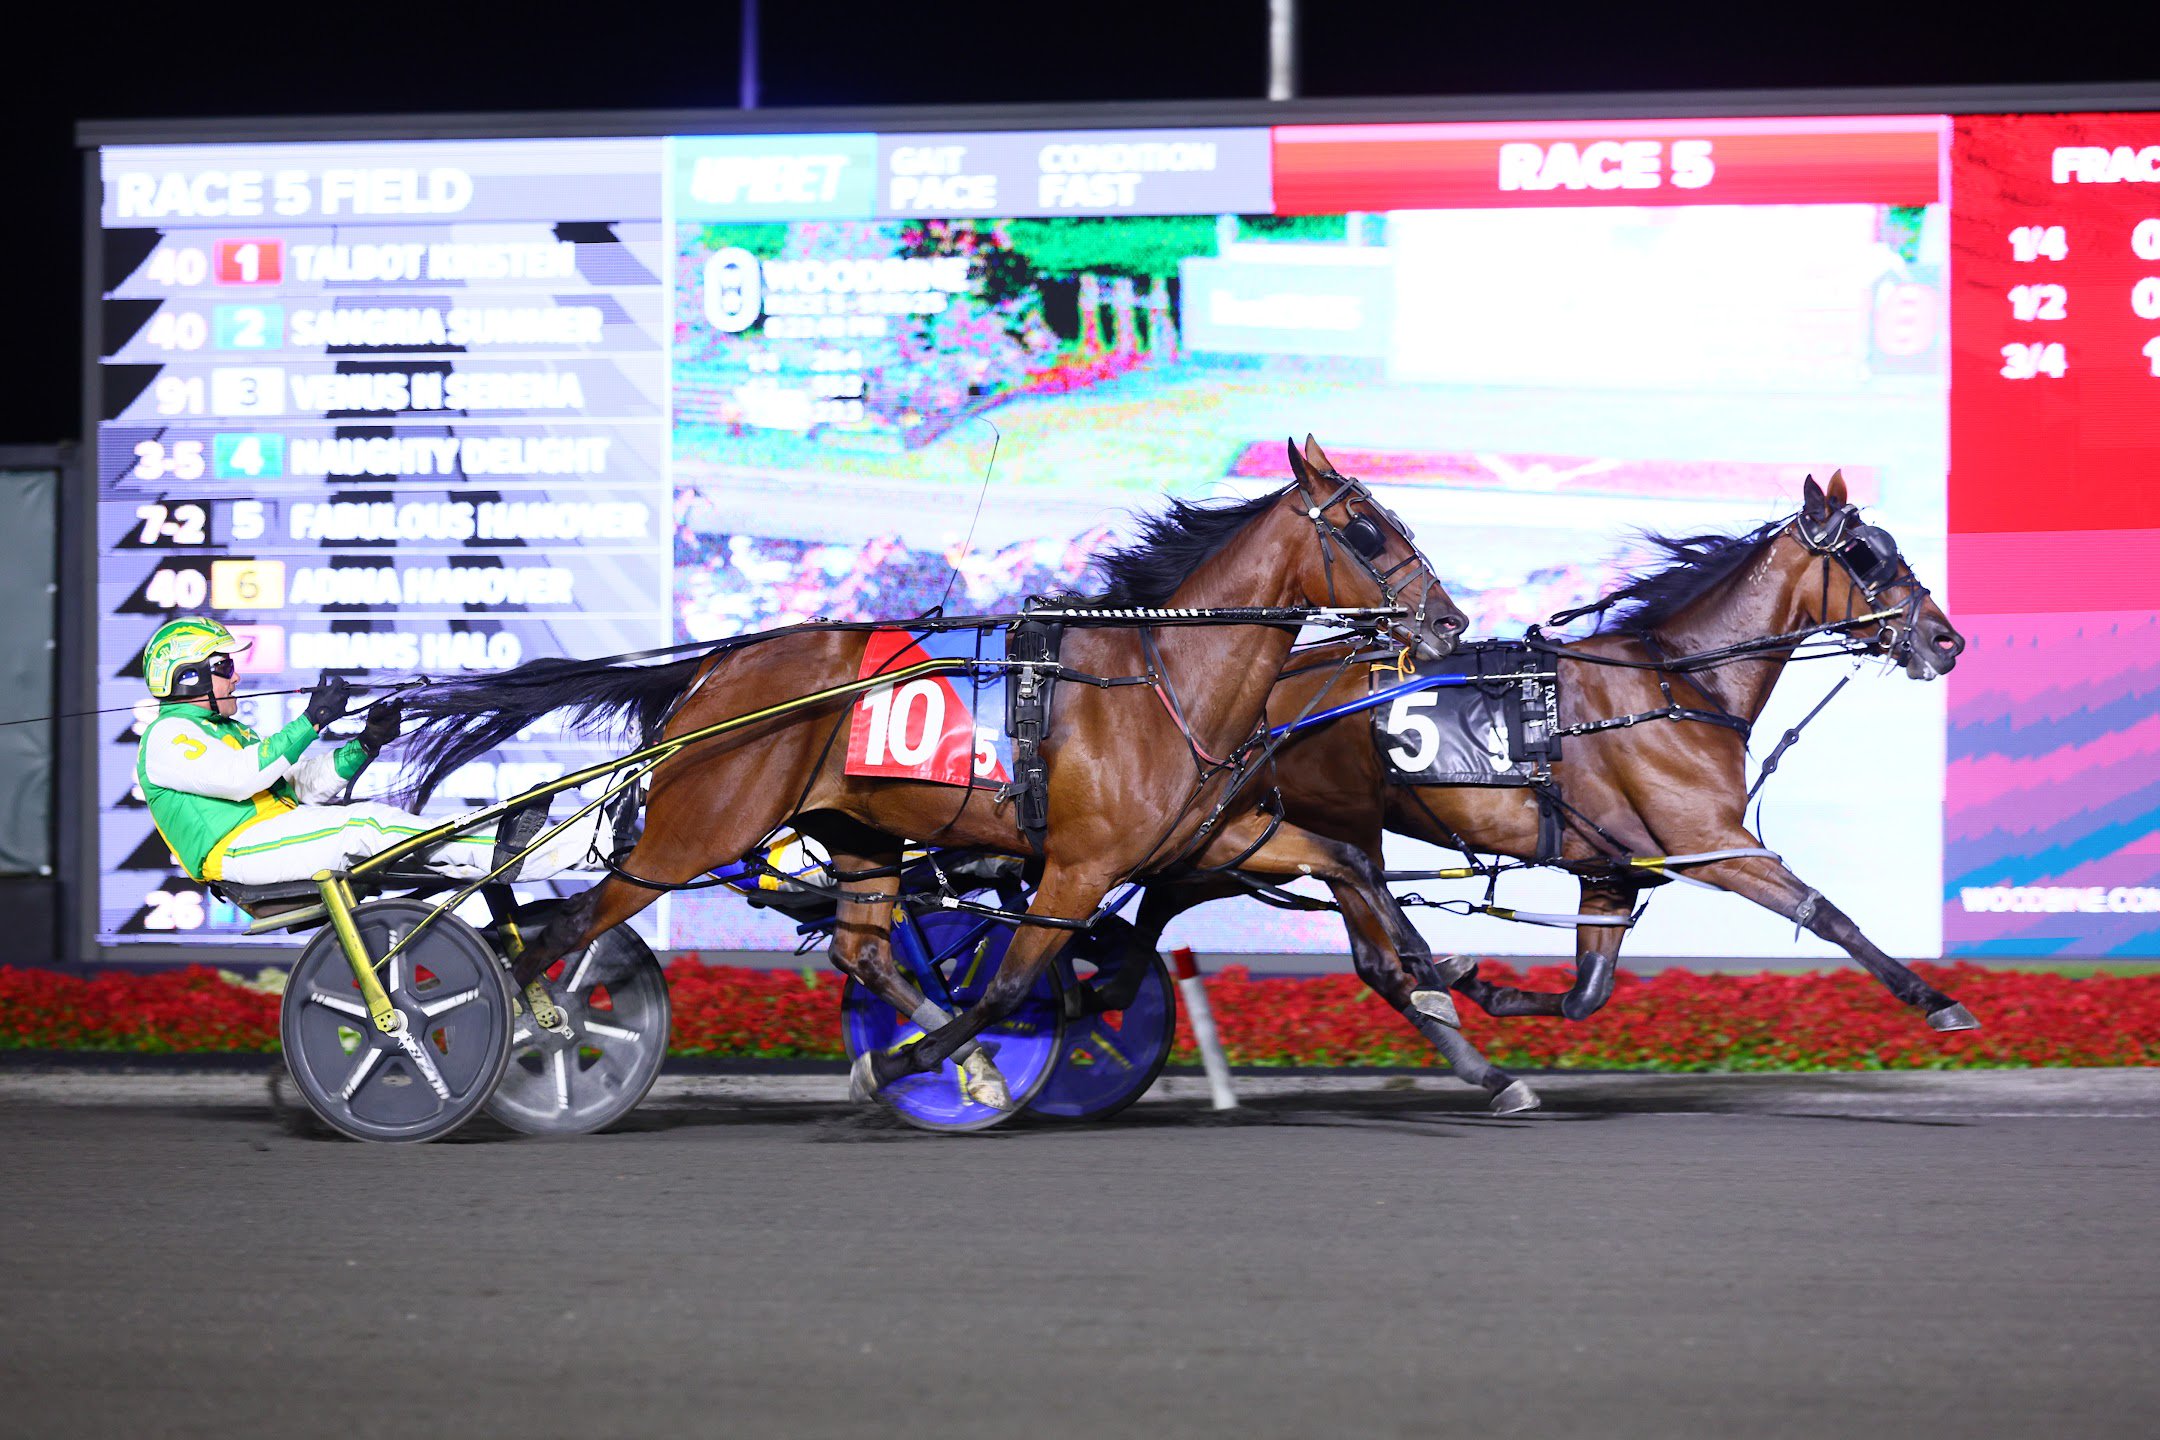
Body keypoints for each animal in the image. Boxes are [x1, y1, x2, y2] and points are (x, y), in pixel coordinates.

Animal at [390, 437, 1487, 1112]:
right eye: (1367, 530)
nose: (1449, 620)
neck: (1159, 680)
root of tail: (711, 671)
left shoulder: (1206, 836)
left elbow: (1347, 859)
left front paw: (1448, 1000)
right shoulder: (1077, 868)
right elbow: (1008, 987)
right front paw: (923, 1062)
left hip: (860, 833)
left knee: (862, 949)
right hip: (694, 832)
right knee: (563, 931)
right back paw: (483, 1049)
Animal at [1132, 470, 1976, 1052]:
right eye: (1866, 556)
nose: (1946, 640)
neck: (1677, 683)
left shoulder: (1610, 872)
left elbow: (1586, 994)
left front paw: (1487, 987)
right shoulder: (1710, 844)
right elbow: (1825, 913)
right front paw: (1937, 1000)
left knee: (1167, 900)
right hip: (1313, 825)